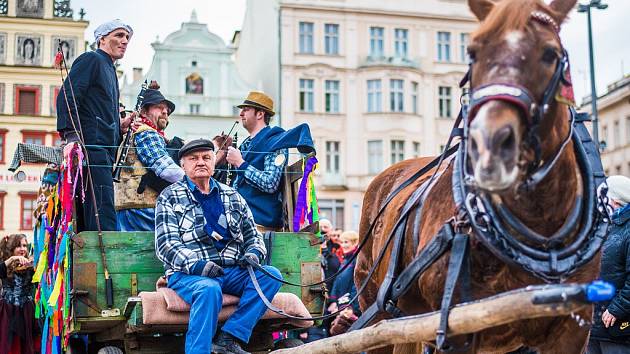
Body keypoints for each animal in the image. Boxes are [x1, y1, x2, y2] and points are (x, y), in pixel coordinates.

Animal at [356, 0, 604, 352]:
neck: (540, 225)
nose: (489, 143)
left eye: (550, 53)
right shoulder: (455, 327)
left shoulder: (573, 327)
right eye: (472, 52)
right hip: (378, 312)